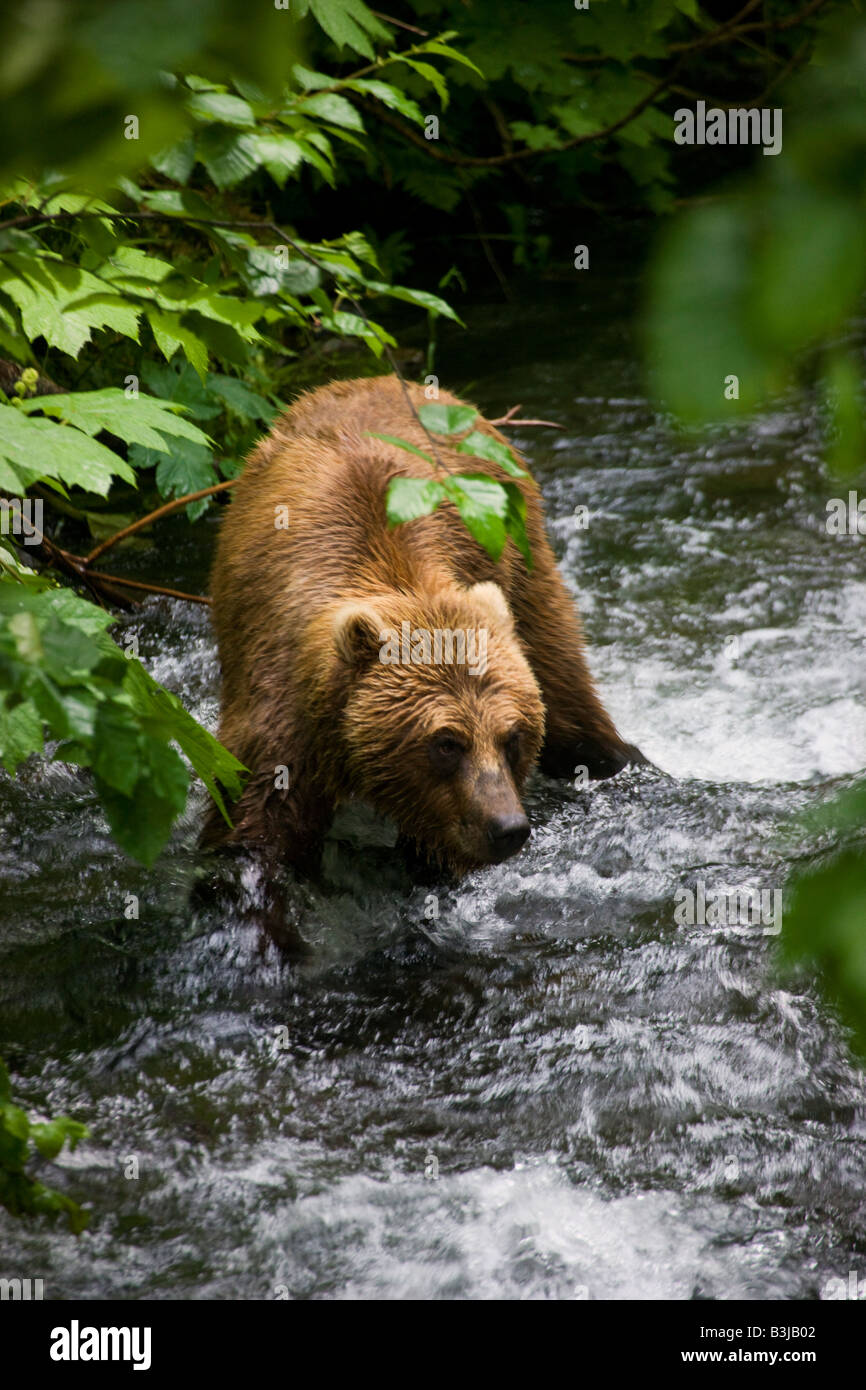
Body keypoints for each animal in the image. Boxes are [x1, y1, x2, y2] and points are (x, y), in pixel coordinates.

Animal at [202, 375, 642, 890]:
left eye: (512, 736)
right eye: (447, 742)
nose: (507, 828)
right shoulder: (283, 701)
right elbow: (258, 828)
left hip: (523, 562)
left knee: (568, 693)